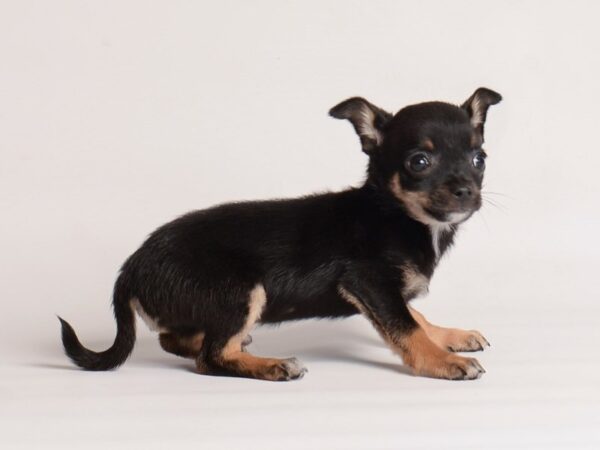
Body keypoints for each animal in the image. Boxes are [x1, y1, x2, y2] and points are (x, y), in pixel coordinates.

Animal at [59, 87, 502, 380]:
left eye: (479, 159)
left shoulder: (384, 292)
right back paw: (272, 365)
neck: (396, 213)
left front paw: (450, 336)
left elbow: (415, 315)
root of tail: (131, 269)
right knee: (211, 357)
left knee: (177, 339)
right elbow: (406, 327)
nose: (466, 190)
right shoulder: (369, 283)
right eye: (419, 161)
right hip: (240, 290)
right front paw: (444, 361)